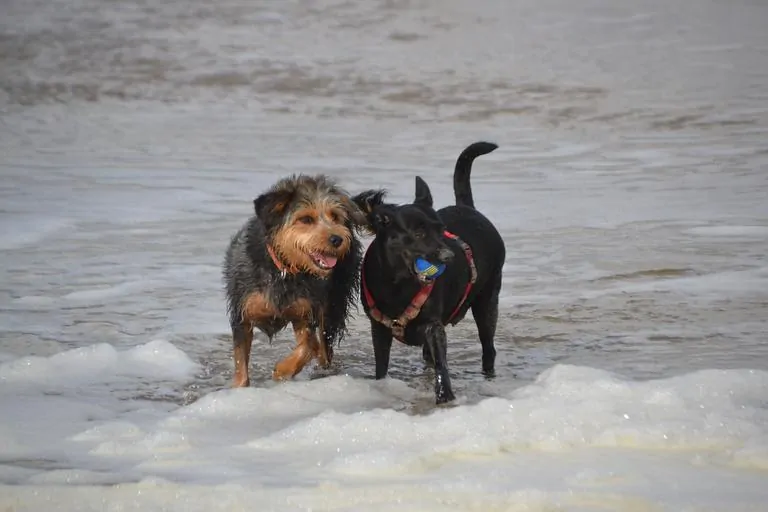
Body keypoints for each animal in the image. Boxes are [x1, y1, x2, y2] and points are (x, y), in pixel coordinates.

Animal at [222, 174, 366, 386]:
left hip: (333, 304)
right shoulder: (242, 314)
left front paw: (283, 370)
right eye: (305, 219)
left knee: (324, 347)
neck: (283, 269)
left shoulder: (306, 313)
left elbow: (308, 346)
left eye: (334, 216)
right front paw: (239, 386)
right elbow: (241, 362)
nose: (337, 239)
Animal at [352, 141, 504, 404]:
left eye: (441, 229)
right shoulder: (378, 328)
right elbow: (381, 365)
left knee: (489, 348)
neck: (397, 284)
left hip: (488, 301)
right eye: (418, 233)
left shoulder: (434, 327)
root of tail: (467, 207)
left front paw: (446, 397)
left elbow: (442, 364)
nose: (449, 256)